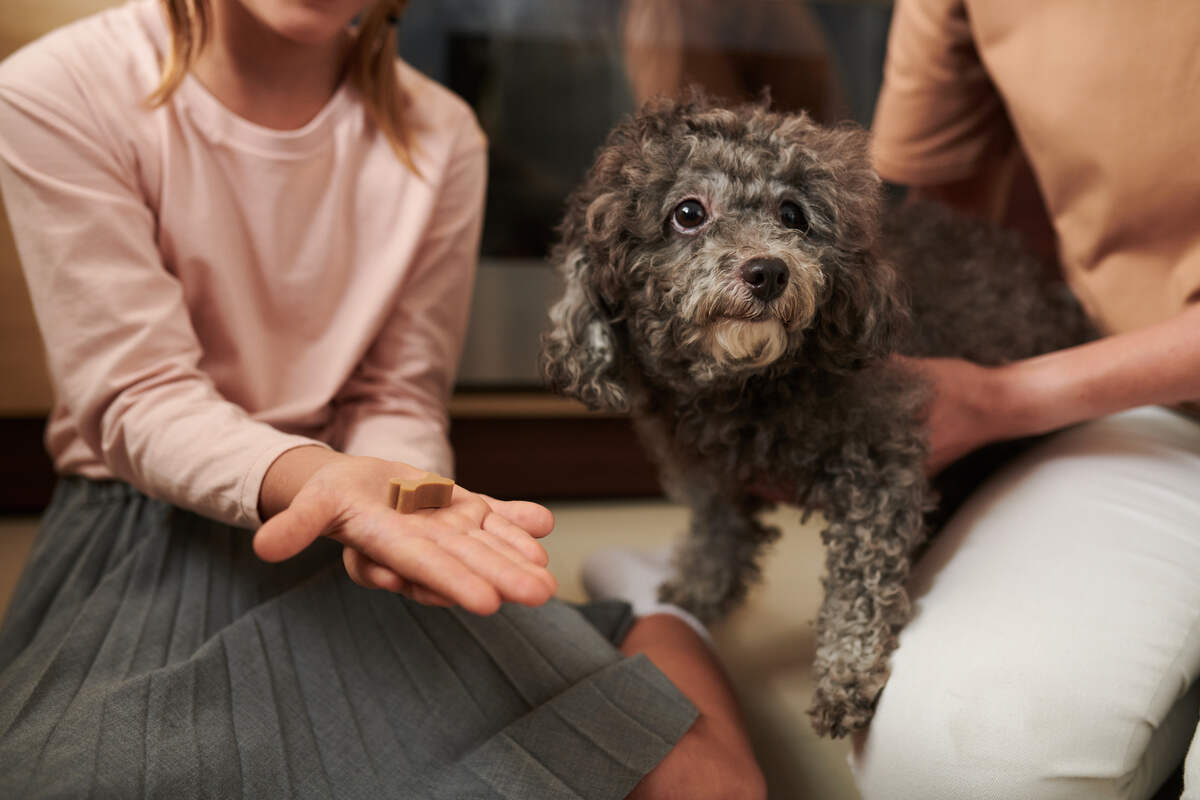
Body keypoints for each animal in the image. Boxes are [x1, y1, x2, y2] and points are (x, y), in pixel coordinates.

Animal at [540, 95, 1094, 738]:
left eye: (793, 214)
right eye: (687, 213)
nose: (768, 271)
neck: (745, 388)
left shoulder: (879, 468)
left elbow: (861, 585)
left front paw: (845, 676)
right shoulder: (714, 477)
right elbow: (717, 537)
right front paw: (691, 598)